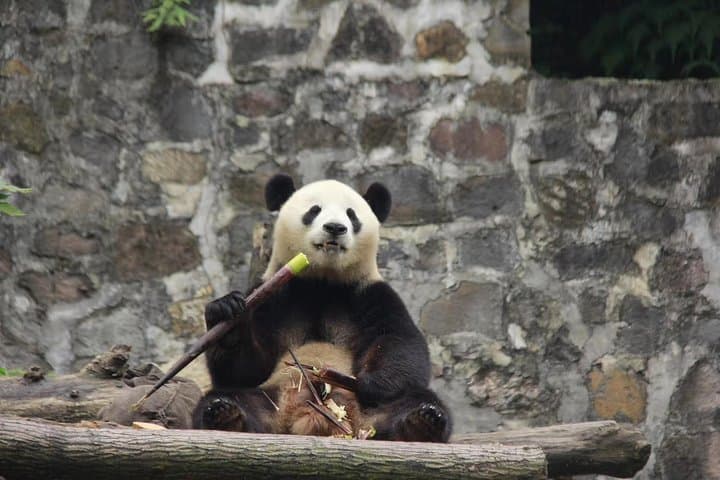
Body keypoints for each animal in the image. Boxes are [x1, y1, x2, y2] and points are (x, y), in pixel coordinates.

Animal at [192, 174, 451, 442]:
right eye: (314, 210)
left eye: (352, 215)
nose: (335, 227)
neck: (322, 282)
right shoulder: (271, 296)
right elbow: (244, 371)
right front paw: (226, 312)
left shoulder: (370, 294)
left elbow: (400, 345)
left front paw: (370, 382)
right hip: (270, 395)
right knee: (232, 397)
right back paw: (225, 415)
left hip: (372, 412)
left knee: (415, 401)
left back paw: (422, 421)